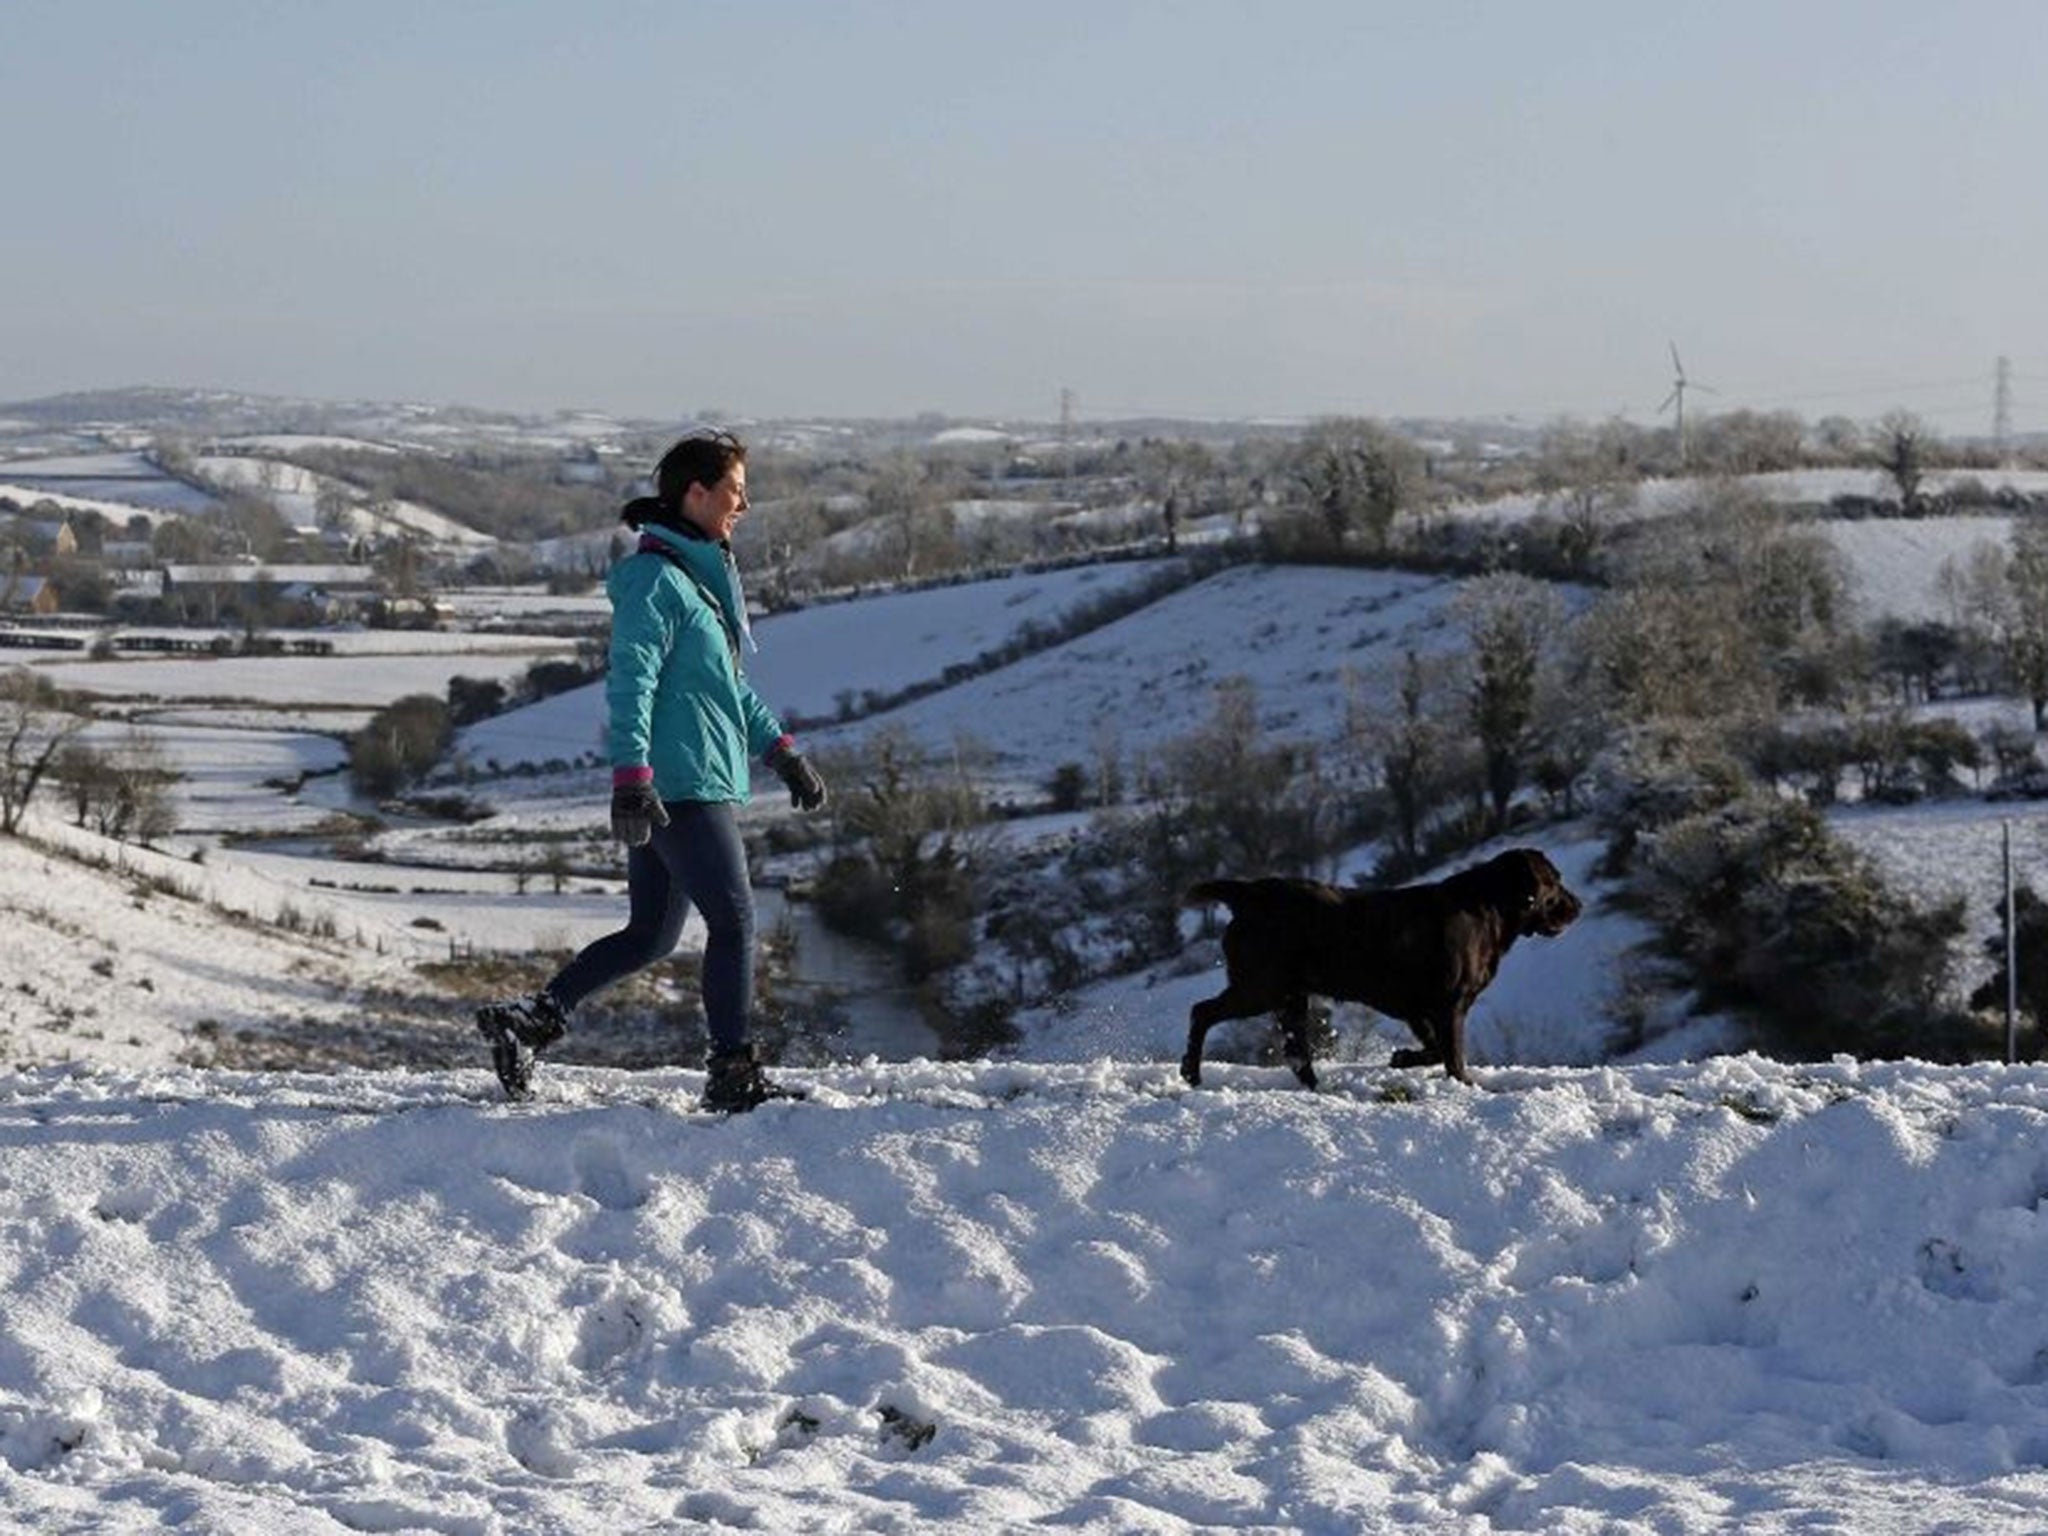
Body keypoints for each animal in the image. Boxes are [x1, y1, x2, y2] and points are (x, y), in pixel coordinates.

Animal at [1187, 856, 1581, 1097]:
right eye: (1554, 881)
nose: (1578, 905)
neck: (1489, 911)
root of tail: (1248, 893)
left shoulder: (1419, 1010)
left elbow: (1434, 1050)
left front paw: (1402, 1058)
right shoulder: (1448, 1005)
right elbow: (1452, 1054)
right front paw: (1466, 1085)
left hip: (1290, 997)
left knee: (1297, 1052)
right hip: (1261, 987)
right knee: (1201, 1011)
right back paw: (1191, 1073)